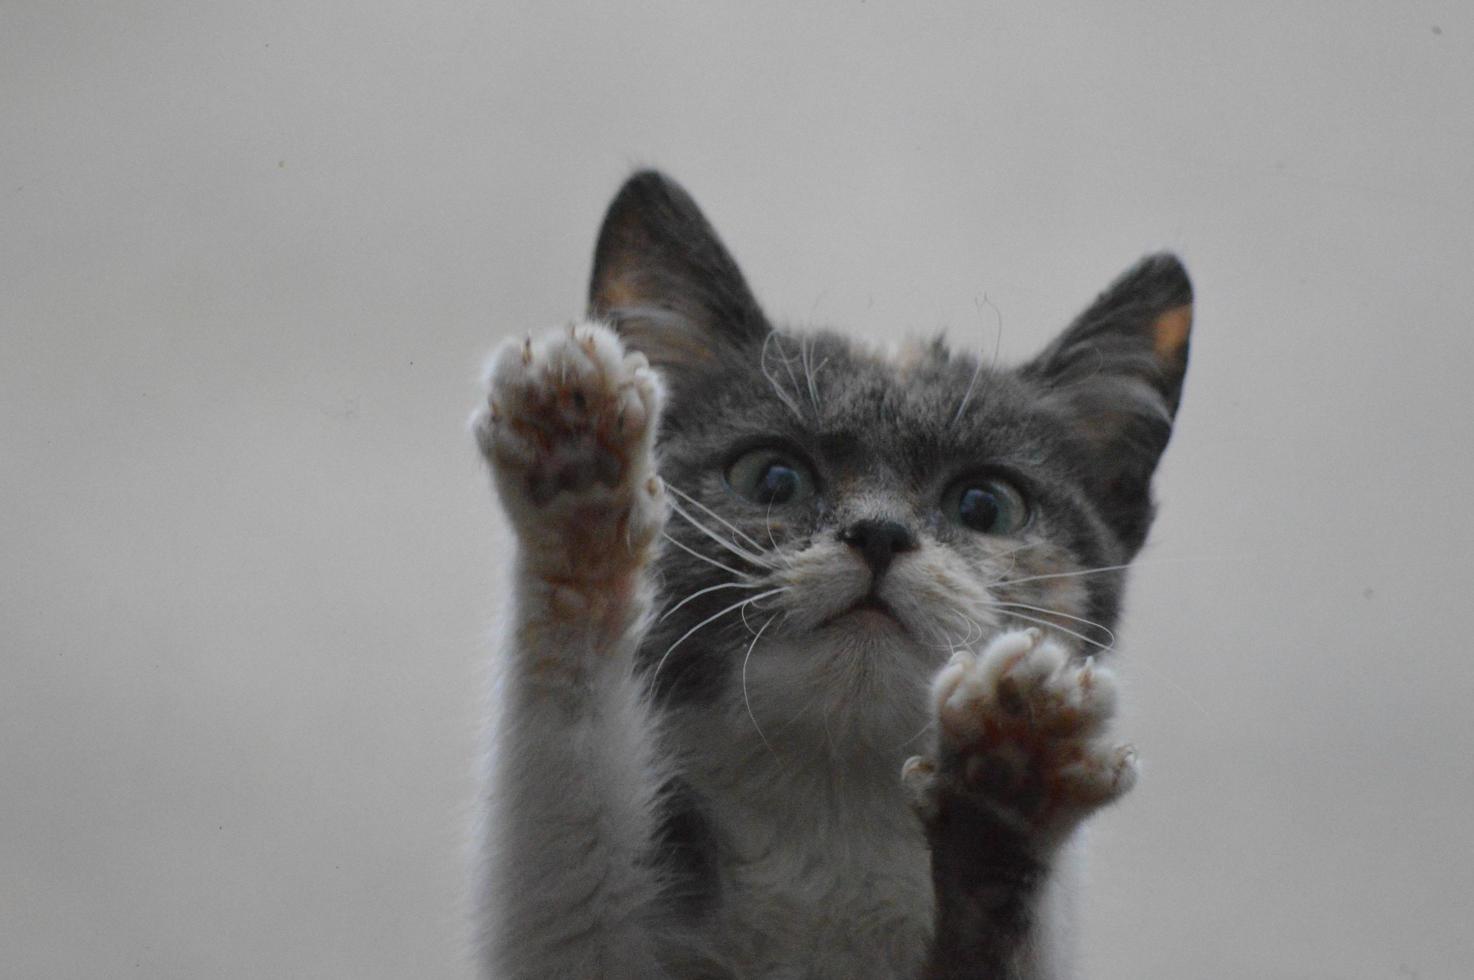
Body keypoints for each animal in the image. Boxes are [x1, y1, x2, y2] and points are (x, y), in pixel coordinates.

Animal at [471, 171, 1185, 972]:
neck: (833, 809)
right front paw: (578, 472)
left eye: (985, 504)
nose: (879, 533)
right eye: (773, 478)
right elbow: (570, 842)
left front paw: (1011, 783)